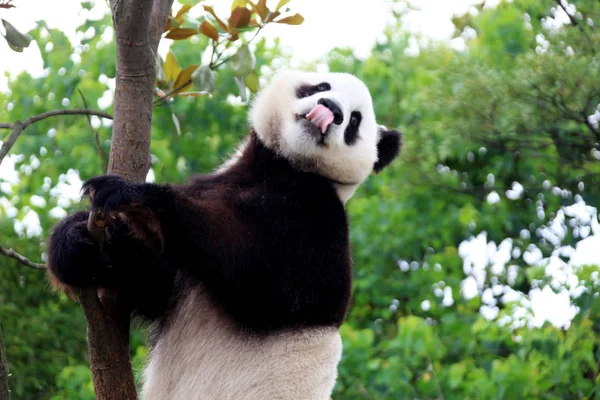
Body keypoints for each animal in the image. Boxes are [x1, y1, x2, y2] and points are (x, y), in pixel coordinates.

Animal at [47, 72, 400, 400]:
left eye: (354, 120)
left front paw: (135, 197)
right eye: (320, 87)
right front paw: (76, 244)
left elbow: (272, 281)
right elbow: (151, 281)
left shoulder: (320, 215)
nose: (331, 109)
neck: (283, 166)